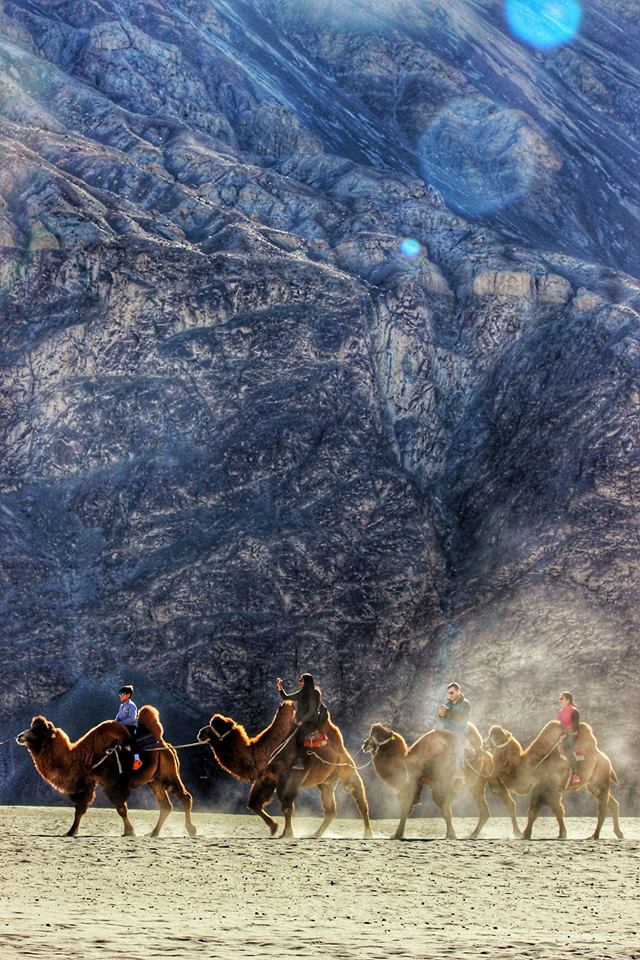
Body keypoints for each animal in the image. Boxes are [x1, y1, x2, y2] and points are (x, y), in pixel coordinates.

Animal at [18, 708, 198, 836]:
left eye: (38, 730)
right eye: (32, 727)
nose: (20, 736)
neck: (83, 756)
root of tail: (166, 745)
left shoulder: (112, 783)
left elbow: (120, 808)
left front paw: (129, 832)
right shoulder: (90, 781)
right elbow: (80, 808)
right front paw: (70, 832)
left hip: (167, 773)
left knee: (184, 797)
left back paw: (191, 830)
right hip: (154, 780)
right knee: (165, 805)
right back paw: (153, 833)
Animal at [198, 696, 372, 840]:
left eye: (218, 726)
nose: (200, 732)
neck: (262, 753)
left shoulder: (288, 779)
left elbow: (287, 806)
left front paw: (286, 833)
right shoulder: (266, 780)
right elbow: (254, 804)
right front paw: (274, 827)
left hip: (345, 767)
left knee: (359, 798)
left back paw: (367, 833)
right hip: (326, 781)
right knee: (330, 809)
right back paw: (315, 834)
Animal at [488, 716, 624, 836]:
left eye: (495, 736)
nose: (485, 743)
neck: (530, 765)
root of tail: (605, 757)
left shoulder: (545, 789)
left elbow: (534, 812)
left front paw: (525, 835)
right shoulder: (548, 790)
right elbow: (557, 811)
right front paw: (562, 834)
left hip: (600, 779)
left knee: (603, 808)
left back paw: (594, 836)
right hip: (592, 784)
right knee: (613, 804)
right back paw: (618, 833)